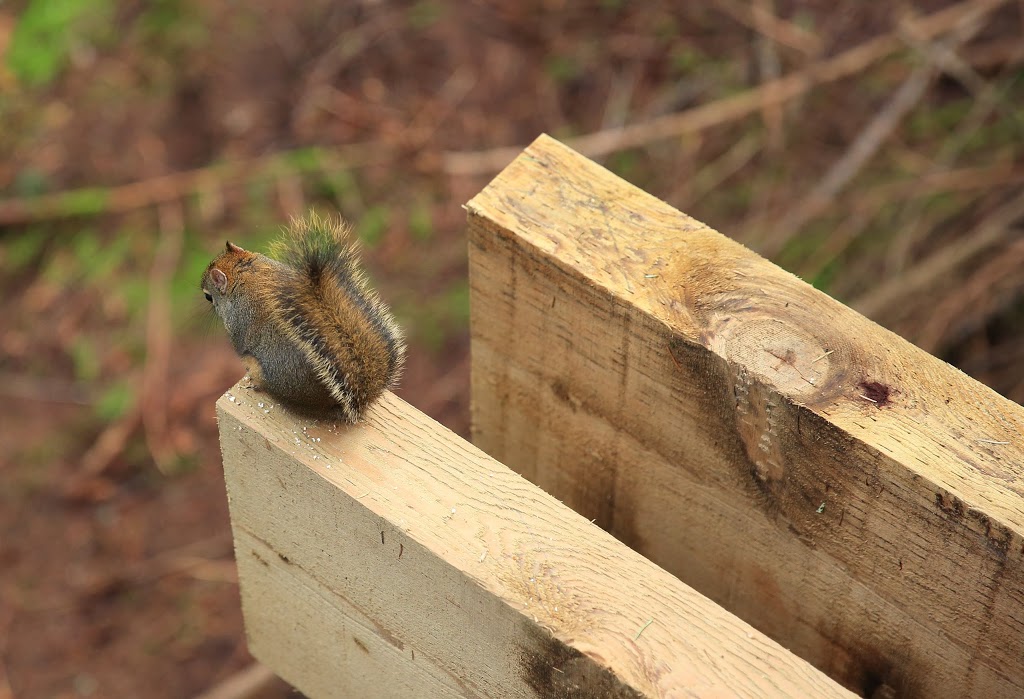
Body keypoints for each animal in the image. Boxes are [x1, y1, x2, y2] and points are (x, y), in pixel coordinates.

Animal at [199, 210, 403, 423]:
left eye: (208, 296)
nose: (204, 294)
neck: (245, 272)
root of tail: (331, 404)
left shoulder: (238, 319)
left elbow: (239, 343)